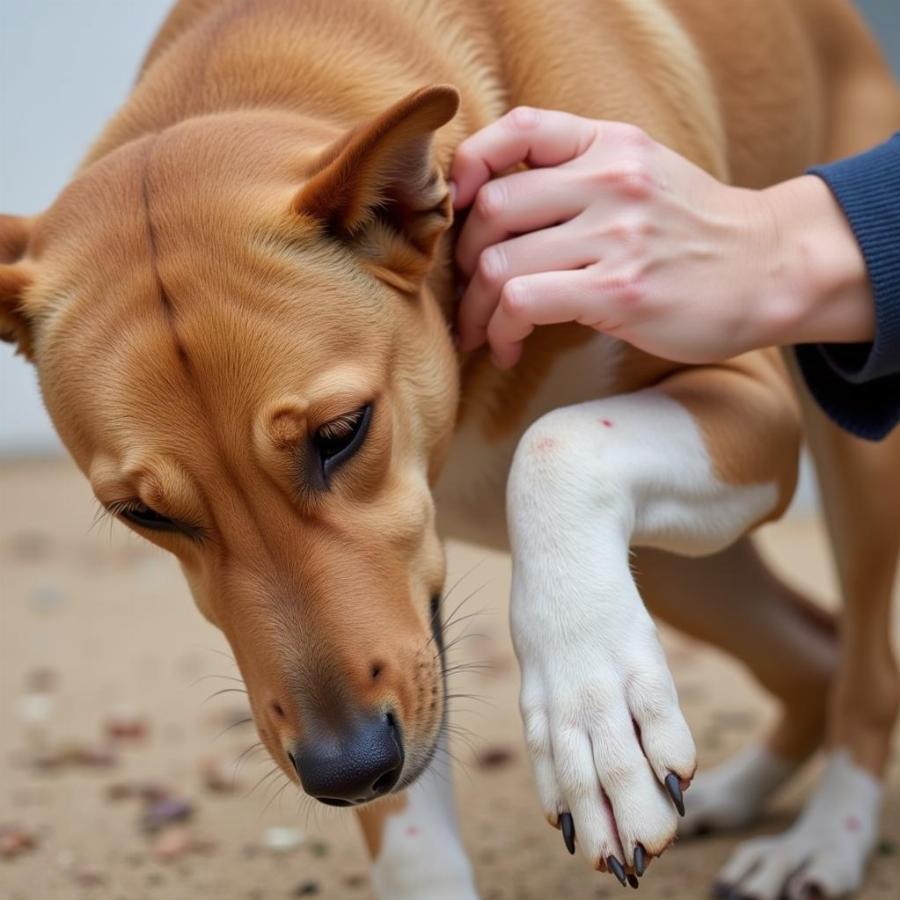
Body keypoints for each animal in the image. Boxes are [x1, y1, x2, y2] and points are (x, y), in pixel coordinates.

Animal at [1, 1, 900, 900]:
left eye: (342, 433)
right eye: (142, 513)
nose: (346, 769)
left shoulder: (754, 406)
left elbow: (555, 440)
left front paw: (590, 723)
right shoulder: (403, 636)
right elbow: (411, 843)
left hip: (850, 468)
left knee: (863, 664)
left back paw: (825, 836)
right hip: (684, 571)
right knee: (814, 647)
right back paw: (735, 793)